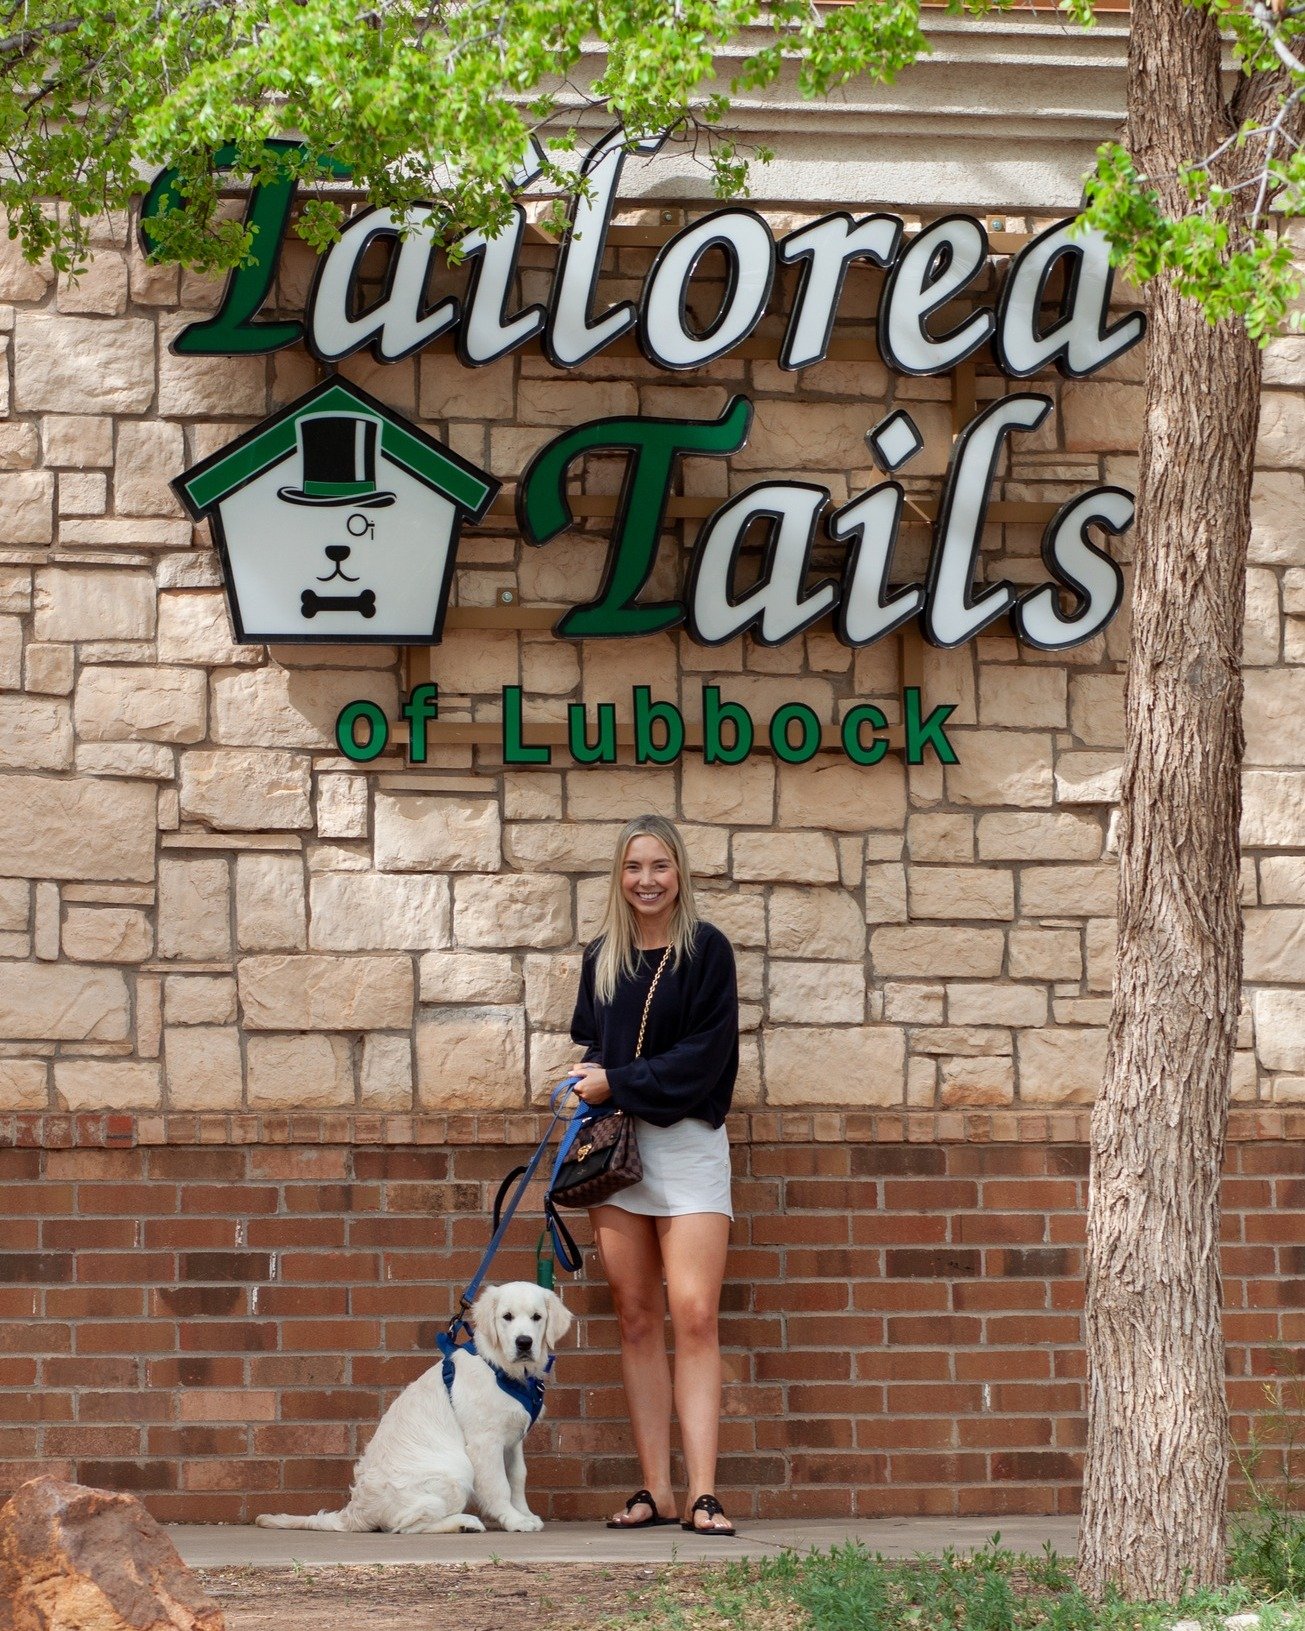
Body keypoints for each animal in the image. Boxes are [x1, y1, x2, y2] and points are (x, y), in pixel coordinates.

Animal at [254, 1285, 570, 1526]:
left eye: (537, 1317)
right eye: (507, 1317)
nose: (524, 1342)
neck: (503, 1370)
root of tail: (355, 1512)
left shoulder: (512, 1440)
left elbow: (517, 1477)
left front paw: (525, 1514)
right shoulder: (485, 1441)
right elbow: (499, 1485)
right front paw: (514, 1520)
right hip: (456, 1468)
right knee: (405, 1524)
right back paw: (463, 1523)